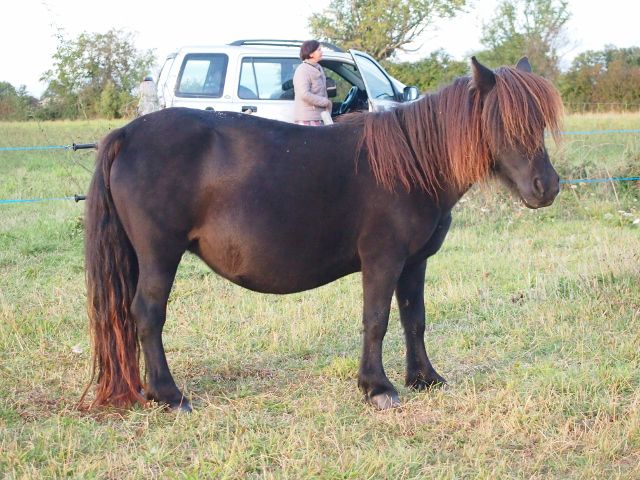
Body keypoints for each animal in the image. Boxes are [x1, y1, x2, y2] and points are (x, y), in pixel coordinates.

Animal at [82, 57, 563, 412]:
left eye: (538, 121)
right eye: (503, 121)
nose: (548, 187)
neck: (412, 165)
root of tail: (127, 134)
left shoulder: (414, 263)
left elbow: (414, 319)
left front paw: (425, 378)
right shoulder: (383, 260)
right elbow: (377, 320)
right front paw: (377, 387)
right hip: (160, 254)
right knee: (147, 314)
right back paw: (169, 395)